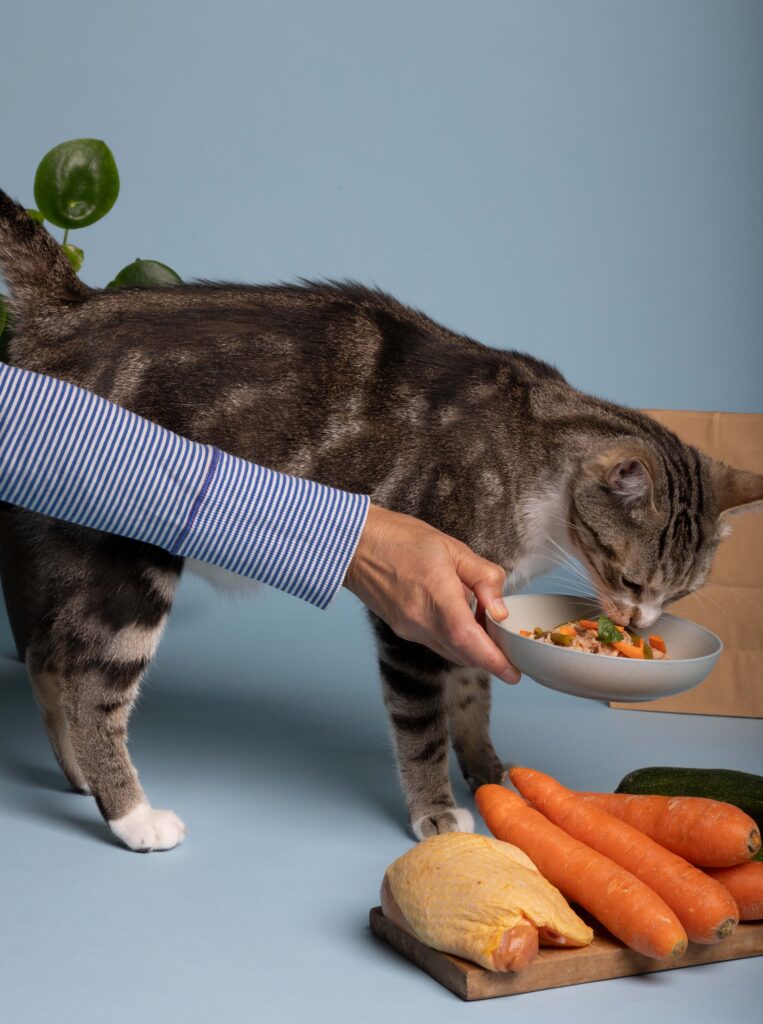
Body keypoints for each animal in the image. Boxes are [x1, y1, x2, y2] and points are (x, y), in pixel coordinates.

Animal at [1, 190, 761, 847]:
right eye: (632, 582)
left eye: (682, 594)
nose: (638, 623)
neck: (538, 459)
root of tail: (70, 306)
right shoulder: (419, 608)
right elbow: (423, 720)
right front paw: (438, 811)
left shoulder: (476, 601)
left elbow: (472, 691)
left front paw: (489, 770)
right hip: (131, 549)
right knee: (91, 685)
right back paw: (131, 815)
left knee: (46, 655)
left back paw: (77, 778)